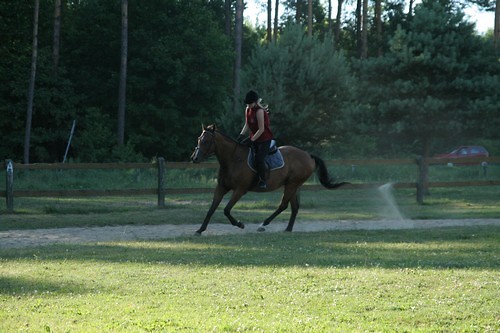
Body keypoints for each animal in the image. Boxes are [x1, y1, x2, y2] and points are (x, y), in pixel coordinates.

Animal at [189, 123, 350, 235]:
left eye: (206, 141)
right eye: (198, 139)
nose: (194, 158)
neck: (233, 159)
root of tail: (308, 155)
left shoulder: (240, 189)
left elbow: (226, 210)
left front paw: (240, 224)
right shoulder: (222, 187)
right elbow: (211, 209)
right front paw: (200, 230)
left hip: (292, 184)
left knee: (283, 205)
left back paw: (263, 224)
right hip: (292, 185)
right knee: (294, 207)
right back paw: (288, 229)